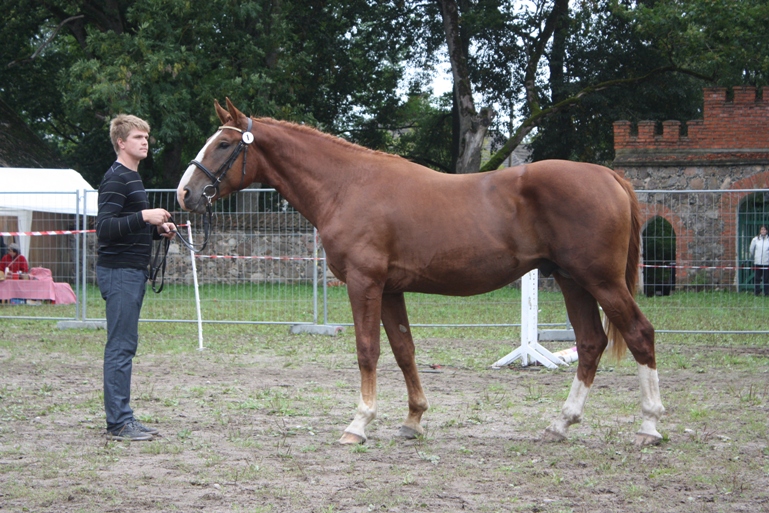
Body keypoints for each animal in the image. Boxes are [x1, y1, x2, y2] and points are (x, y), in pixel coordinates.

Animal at [177, 99, 664, 444]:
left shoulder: (364, 284)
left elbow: (367, 351)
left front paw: (359, 423)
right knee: (591, 343)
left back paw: (649, 426)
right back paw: (561, 424)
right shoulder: (391, 290)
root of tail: (610, 176)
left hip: (601, 281)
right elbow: (404, 351)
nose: (185, 193)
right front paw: (413, 420)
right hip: (571, 280)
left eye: (224, 144)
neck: (348, 185)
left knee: (639, 334)